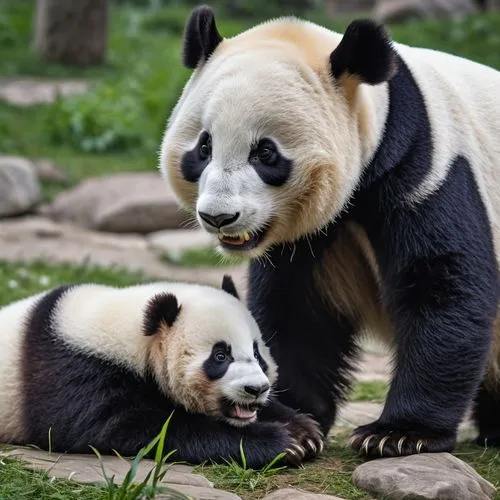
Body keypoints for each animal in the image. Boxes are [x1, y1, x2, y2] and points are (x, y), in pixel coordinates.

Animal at [0, 276, 322, 466]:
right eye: (220, 356)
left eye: (257, 353)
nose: (256, 389)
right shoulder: (77, 370)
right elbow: (131, 427)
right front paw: (282, 442)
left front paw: (304, 431)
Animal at [160, 6, 500, 460]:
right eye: (203, 148)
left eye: (265, 152)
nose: (218, 216)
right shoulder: (307, 238)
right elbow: (298, 310)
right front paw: (295, 424)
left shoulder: (431, 168)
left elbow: (442, 284)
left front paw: (399, 433)